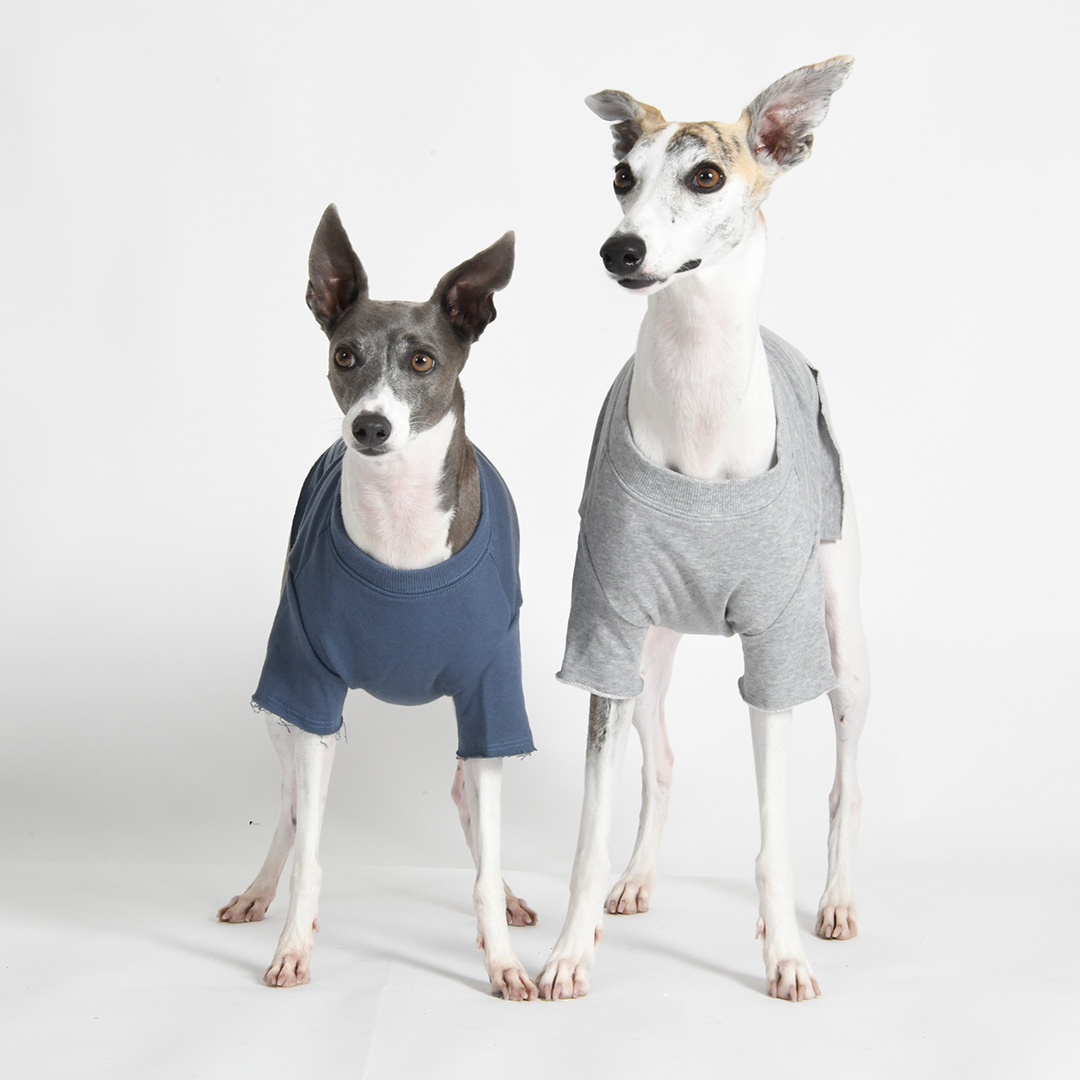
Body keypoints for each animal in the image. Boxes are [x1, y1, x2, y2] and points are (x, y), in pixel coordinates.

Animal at [218, 205, 539, 1001]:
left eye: (422, 362)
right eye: (344, 355)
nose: (370, 427)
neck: (399, 527)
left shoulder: (492, 695)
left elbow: (484, 846)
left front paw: (503, 962)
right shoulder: (308, 685)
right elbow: (308, 843)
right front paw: (293, 947)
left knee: (466, 802)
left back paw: (509, 895)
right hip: (283, 705)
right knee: (290, 808)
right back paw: (259, 892)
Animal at [538, 57, 869, 1002]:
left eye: (708, 175)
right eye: (622, 176)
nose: (620, 250)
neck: (698, 390)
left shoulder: (779, 649)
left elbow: (772, 840)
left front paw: (784, 957)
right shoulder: (605, 634)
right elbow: (591, 828)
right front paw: (568, 954)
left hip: (842, 642)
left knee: (843, 783)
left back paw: (836, 903)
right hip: (649, 658)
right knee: (660, 761)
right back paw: (637, 879)